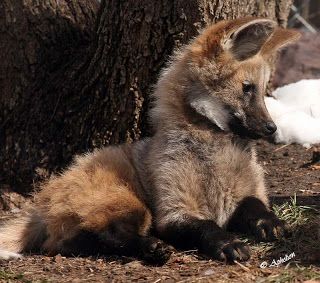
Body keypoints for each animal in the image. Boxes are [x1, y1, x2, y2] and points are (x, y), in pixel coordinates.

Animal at [0, 18, 300, 266]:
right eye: (247, 88)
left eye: (262, 91)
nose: (271, 128)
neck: (214, 147)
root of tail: (41, 203)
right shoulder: (173, 211)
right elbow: (206, 227)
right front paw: (228, 243)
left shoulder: (246, 193)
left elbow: (256, 206)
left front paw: (272, 223)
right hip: (129, 203)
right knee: (94, 237)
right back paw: (153, 247)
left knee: (66, 243)